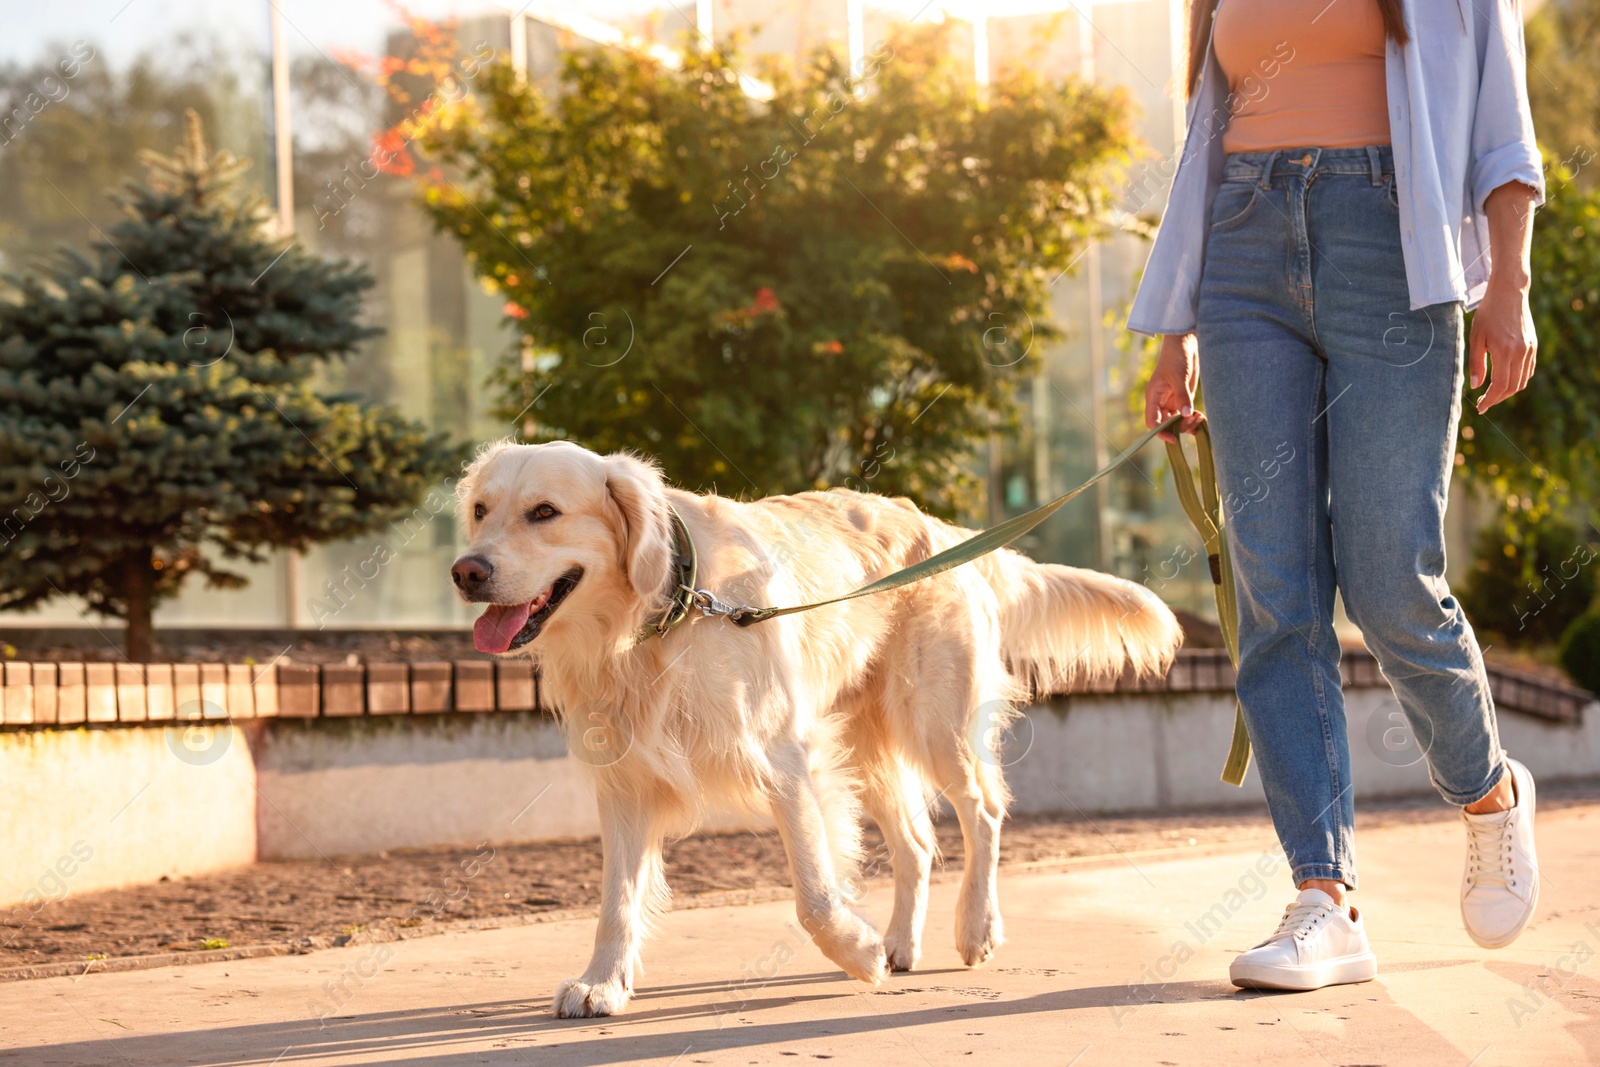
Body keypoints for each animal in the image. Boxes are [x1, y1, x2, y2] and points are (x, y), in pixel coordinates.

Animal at [448, 441, 1177, 1017]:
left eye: (545, 512)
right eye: (482, 509)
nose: (466, 571)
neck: (668, 613)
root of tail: (942, 530)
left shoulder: (785, 758)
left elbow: (816, 898)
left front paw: (856, 953)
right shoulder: (629, 779)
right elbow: (616, 898)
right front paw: (602, 982)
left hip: (934, 722)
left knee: (984, 813)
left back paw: (973, 928)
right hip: (868, 744)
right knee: (917, 842)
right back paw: (901, 942)